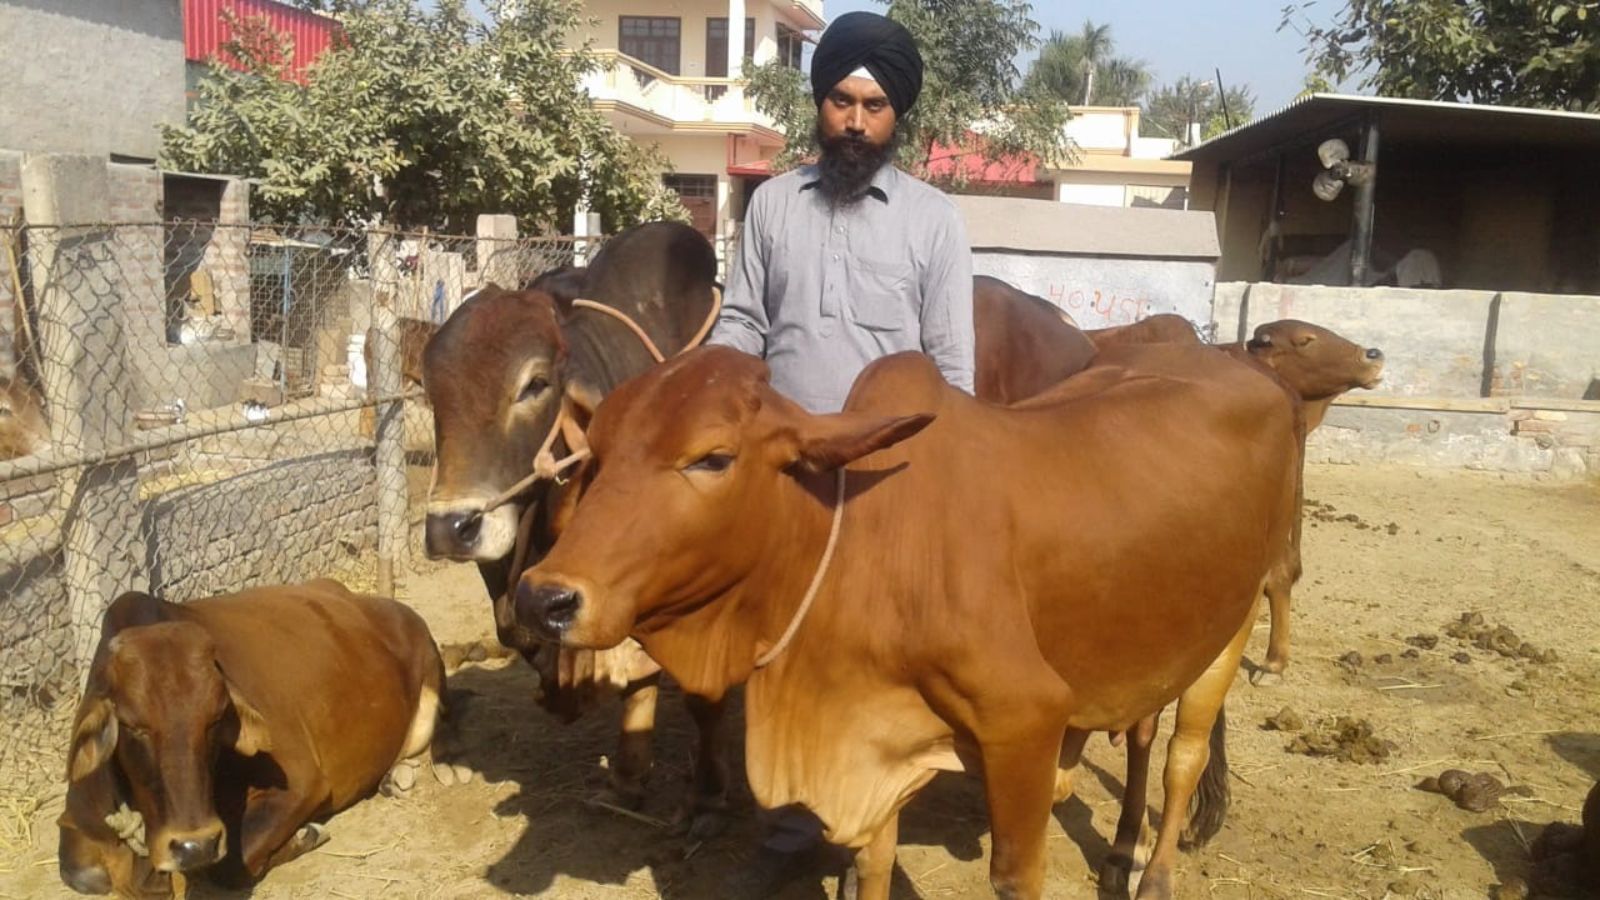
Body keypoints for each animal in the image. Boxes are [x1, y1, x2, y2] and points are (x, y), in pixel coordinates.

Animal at [58, 573, 444, 890]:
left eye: (216, 720)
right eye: (132, 726)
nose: (194, 846)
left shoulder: (302, 783)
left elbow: (230, 863)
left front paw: (305, 835)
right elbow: (80, 872)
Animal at [512, 342, 1299, 896]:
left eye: (712, 458)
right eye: (596, 458)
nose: (542, 599)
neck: (853, 545)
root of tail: (1247, 367)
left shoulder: (1026, 722)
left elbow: (1015, 877)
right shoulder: (872, 740)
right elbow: (873, 865)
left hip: (1229, 629)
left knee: (1181, 759)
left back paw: (1154, 874)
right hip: (1159, 634)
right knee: (1139, 731)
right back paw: (1119, 853)